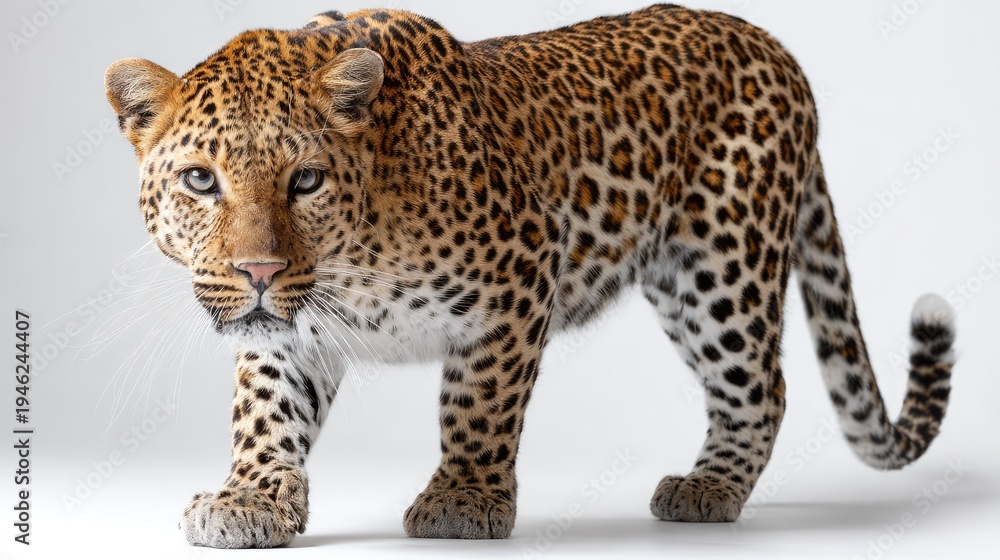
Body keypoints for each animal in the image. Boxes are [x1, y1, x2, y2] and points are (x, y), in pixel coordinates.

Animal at [104, 4, 957, 548]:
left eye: (305, 180)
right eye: (201, 181)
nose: (258, 268)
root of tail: (778, 48)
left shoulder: (520, 272)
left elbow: (478, 404)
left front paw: (462, 500)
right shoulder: (292, 330)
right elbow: (267, 413)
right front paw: (249, 499)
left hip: (724, 262)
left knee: (762, 386)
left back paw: (709, 489)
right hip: (682, 281)